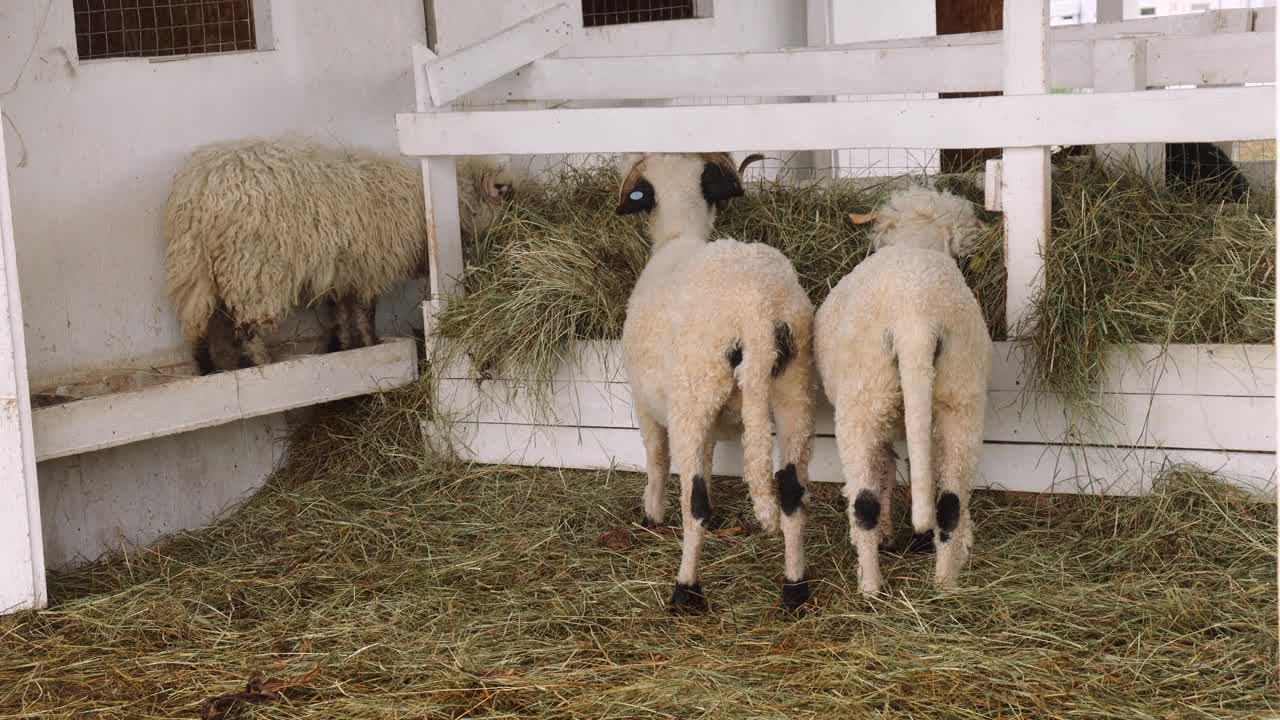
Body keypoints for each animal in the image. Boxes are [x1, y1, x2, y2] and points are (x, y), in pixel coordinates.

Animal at [162, 137, 512, 371]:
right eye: (505, 198)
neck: (421, 200)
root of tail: (198, 190)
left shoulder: (343, 270)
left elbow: (341, 311)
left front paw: (344, 345)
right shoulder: (371, 265)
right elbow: (366, 312)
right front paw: (370, 343)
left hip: (198, 271)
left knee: (204, 324)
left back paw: (210, 366)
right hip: (251, 268)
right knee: (246, 327)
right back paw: (262, 361)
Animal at [614, 151, 814, 609]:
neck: (677, 235)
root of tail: (756, 309)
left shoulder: (646, 404)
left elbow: (656, 459)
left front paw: (650, 513)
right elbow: (704, 460)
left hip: (694, 395)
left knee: (695, 503)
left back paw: (685, 590)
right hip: (793, 392)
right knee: (791, 494)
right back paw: (794, 588)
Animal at [819, 180, 988, 594]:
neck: (917, 242)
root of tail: (917, 319)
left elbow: (881, 475)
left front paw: (885, 535)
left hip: (863, 405)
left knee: (862, 502)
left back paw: (870, 586)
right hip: (959, 401)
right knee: (950, 500)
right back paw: (946, 583)